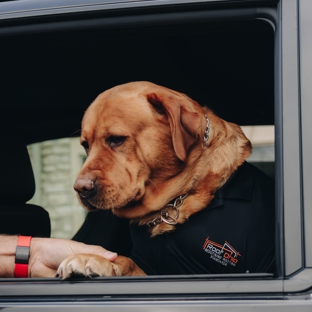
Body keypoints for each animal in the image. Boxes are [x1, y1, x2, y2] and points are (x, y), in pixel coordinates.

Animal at [56, 81, 256, 278]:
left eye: (117, 139)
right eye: (86, 145)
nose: (80, 188)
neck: (175, 201)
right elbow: (126, 261)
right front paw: (97, 260)